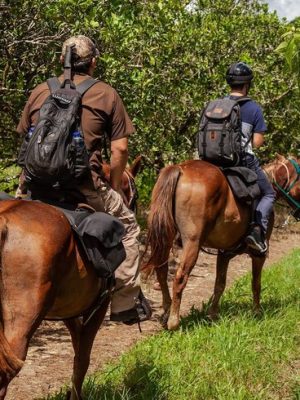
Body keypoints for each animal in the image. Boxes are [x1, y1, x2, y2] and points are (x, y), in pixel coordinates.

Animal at [146, 155, 300, 330]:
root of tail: (180, 169)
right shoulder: (258, 255)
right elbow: (256, 283)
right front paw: (257, 312)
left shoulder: (224, 253)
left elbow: (220, 283)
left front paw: (213, 314)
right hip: (192, 243)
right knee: (179, 277)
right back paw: (173, 322)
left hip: (165, 238)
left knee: (161, 271)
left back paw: (166, 312)